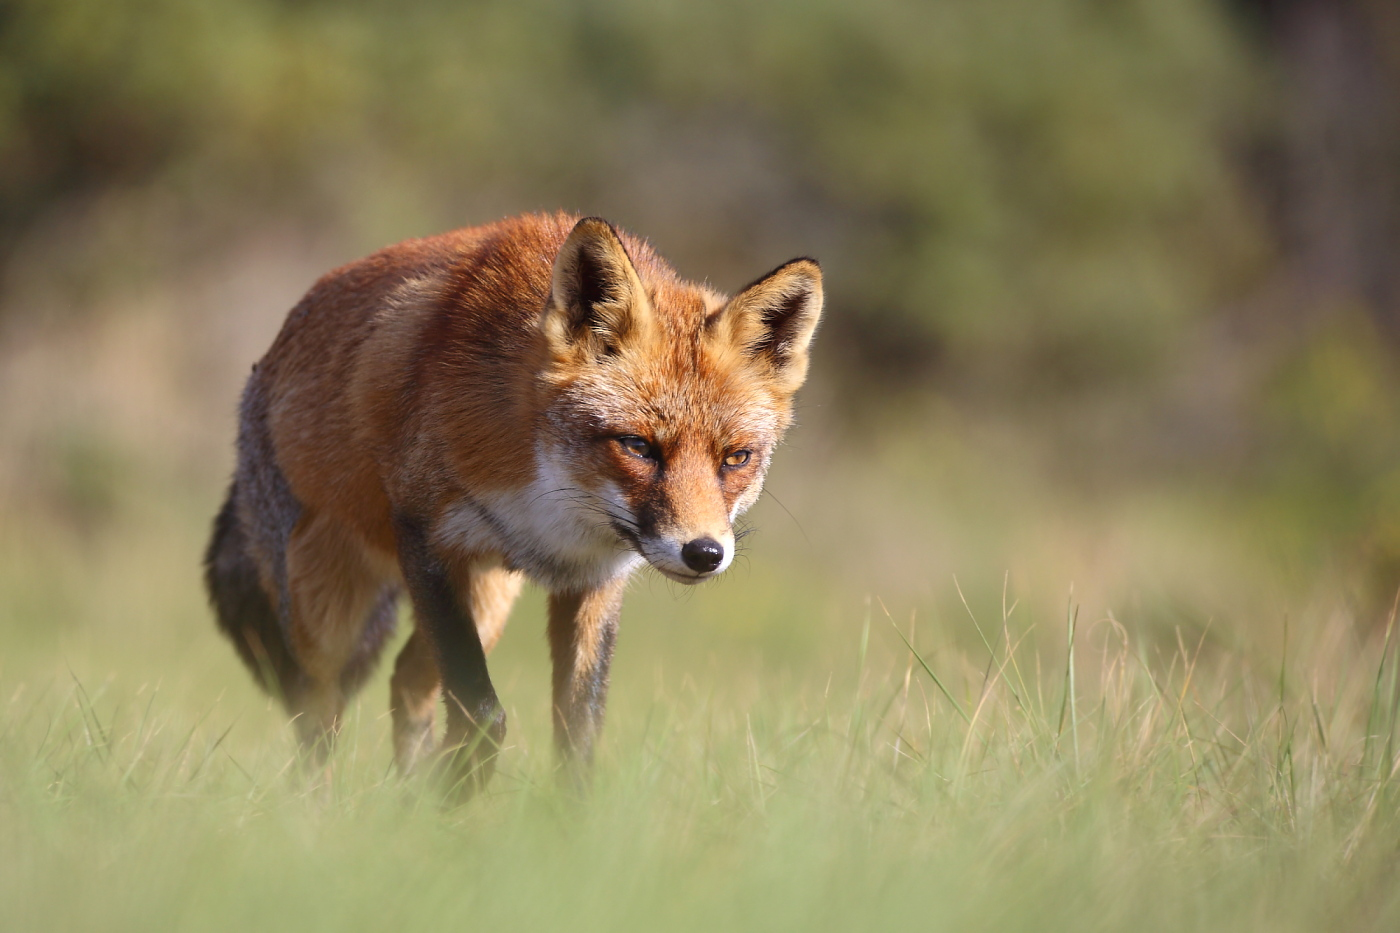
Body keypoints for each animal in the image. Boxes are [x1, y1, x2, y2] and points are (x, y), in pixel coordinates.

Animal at [201, 214, 817, 790]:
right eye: (639, 446)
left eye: (735, 458)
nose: (704, 553)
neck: (551, 512)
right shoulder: (427, 538)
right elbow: (482, 714)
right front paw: (458, 802)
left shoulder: (595, 581)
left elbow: (578, 736)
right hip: (328, 608)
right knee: (316, 713)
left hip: (489, 599)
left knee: (406, 685)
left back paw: (404, 807)